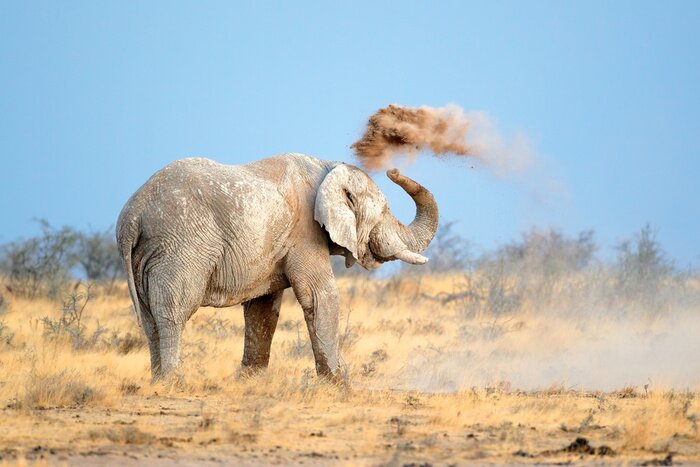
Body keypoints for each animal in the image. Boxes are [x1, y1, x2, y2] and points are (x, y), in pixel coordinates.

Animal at [116, 153, 438, 380]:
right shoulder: (305, 233)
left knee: (150, 320)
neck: (328, 167)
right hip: (180, 247)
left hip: (147, 254)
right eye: (385, 210)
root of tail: (132, 215)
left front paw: (250, 382)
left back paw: (158, 381)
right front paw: (341, 384)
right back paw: (174, 382)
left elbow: (262, 309)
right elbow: (321, 297)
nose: (393, 170)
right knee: (173, 312)